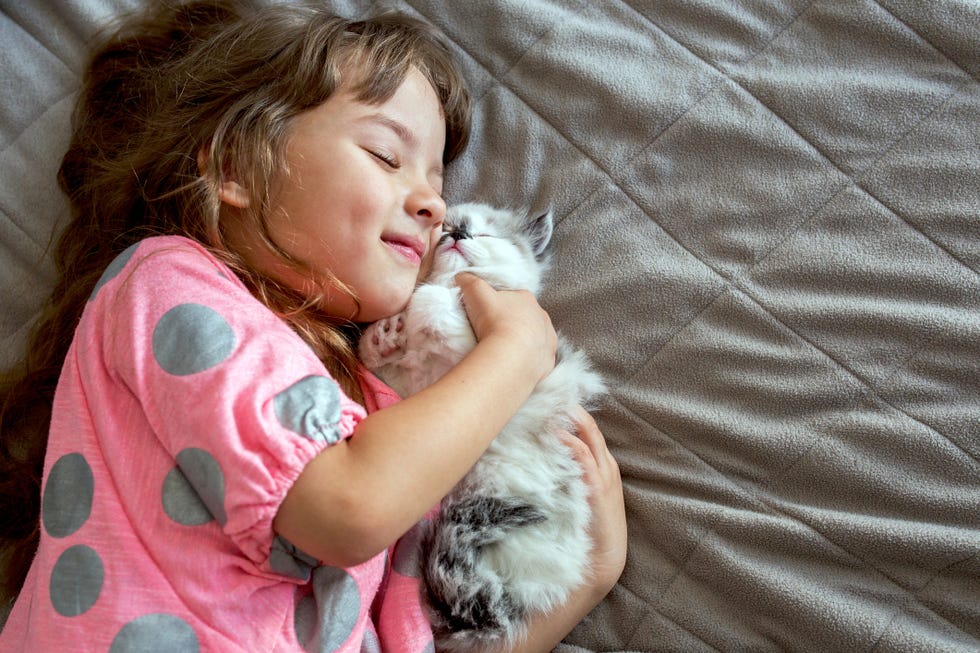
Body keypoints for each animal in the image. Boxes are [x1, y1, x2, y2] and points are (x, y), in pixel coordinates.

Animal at [360, 201, 604, 648]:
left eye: (484, 235)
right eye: (446, 231)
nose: (458, 234)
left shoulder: (479, 351)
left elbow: (436, 303)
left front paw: (423, 306)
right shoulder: (414, 390)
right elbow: (384, 358)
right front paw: (383, 336)